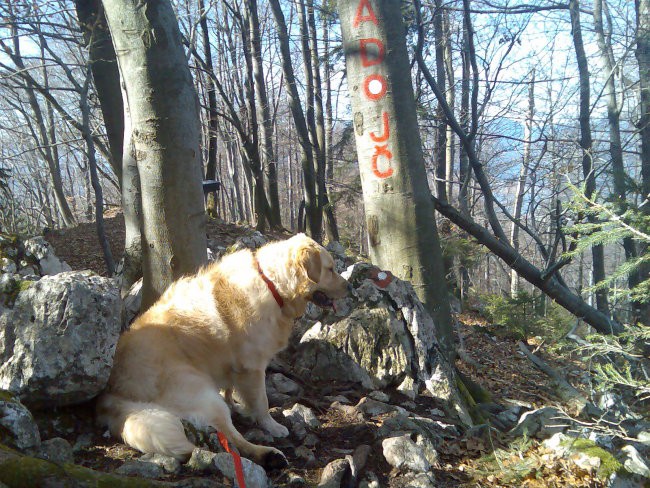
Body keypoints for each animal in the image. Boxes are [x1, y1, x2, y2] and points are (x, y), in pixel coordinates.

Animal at [97, 234, 350, 468]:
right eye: (330, 269)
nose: (349, 289)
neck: (272, 284)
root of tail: (114, 394)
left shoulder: (233, 365)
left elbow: (231, 389)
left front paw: (238, 405)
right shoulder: (252, 367)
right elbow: (262, 402)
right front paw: (271, 425)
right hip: (202, 394)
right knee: (231, 439)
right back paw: (269, 455)